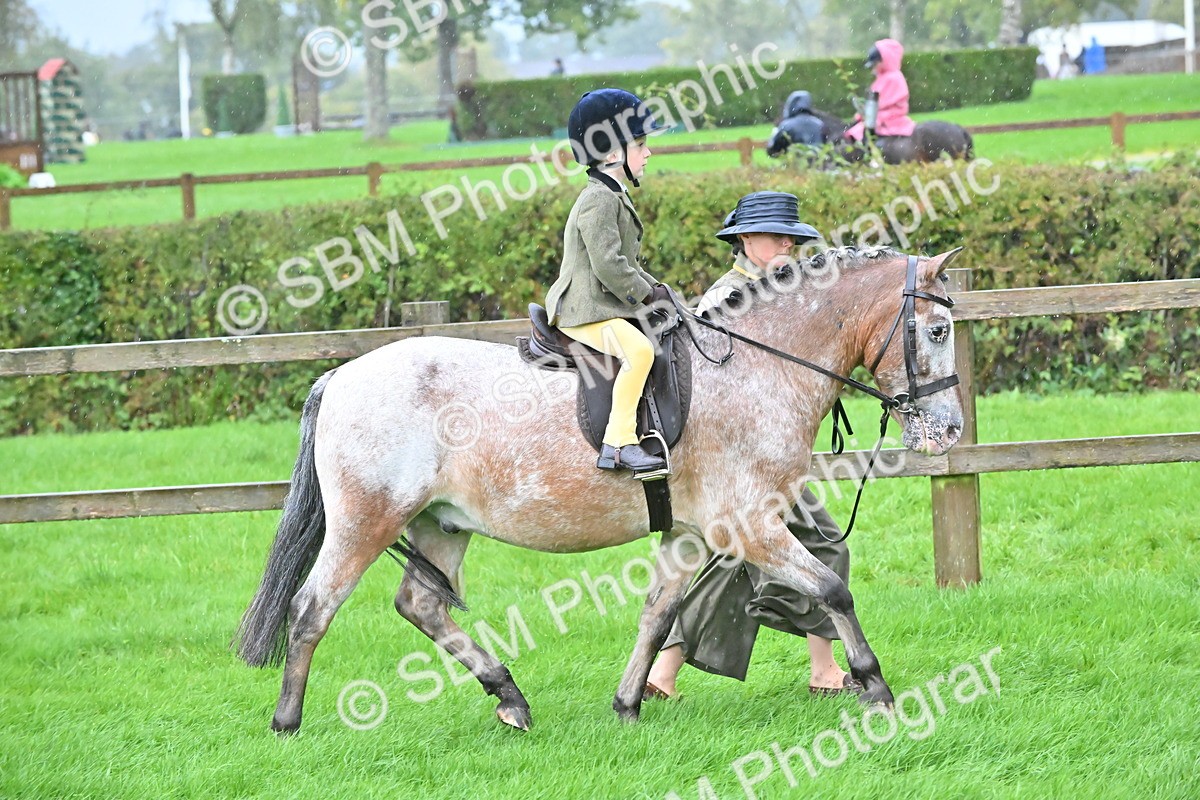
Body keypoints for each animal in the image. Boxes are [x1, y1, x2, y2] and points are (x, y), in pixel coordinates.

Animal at [232, 245, 966, 734]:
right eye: (936, 330)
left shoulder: (690, 533)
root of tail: (342, 376)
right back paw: (287, 721)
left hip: (441, 524)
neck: (756, 368)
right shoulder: (749, 526)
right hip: (367, 521)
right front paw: (875, 686)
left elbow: (658, 614)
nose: (952, 429)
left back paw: (510, 697)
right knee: (312, 609)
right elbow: (833, 589)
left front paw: (628, 704)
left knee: (421, 605)